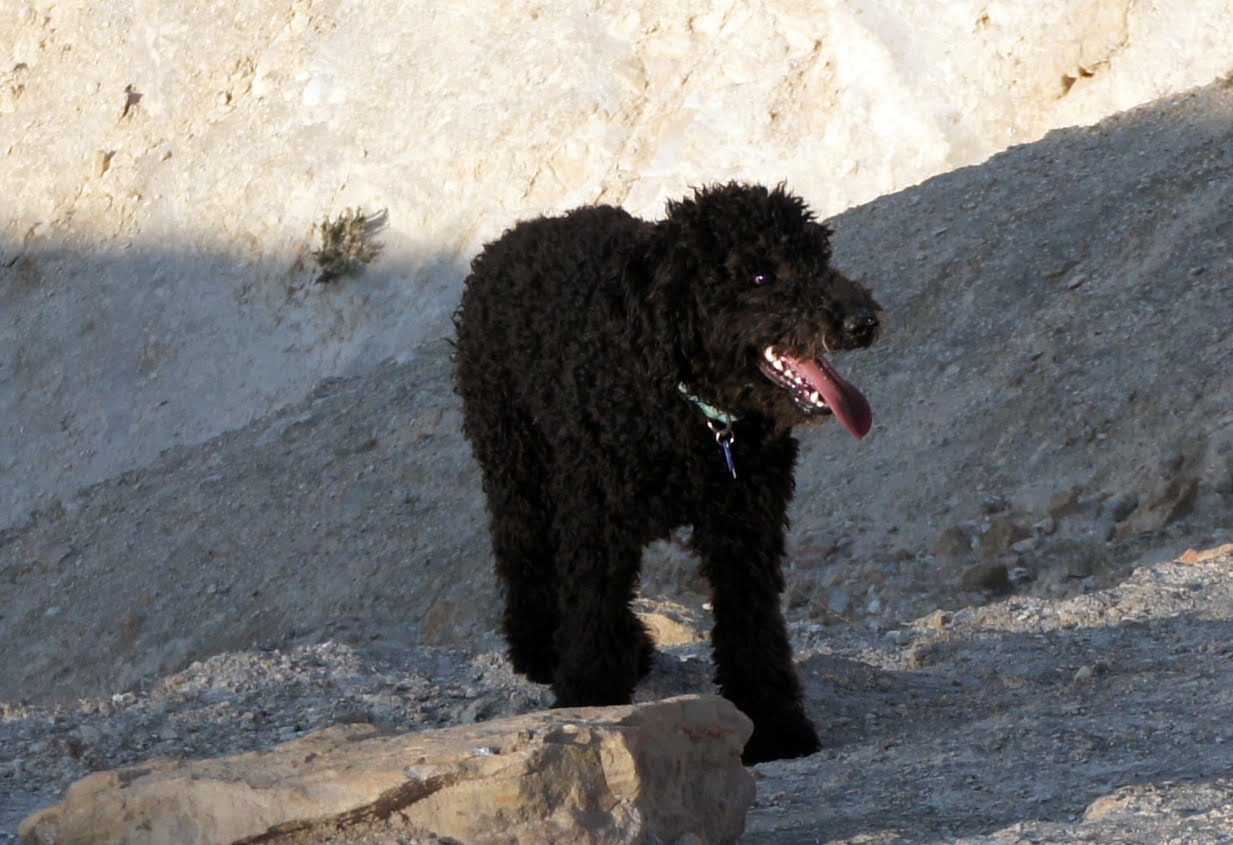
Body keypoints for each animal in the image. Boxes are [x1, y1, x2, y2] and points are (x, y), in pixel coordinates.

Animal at [453, 182, 881, 763]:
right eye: (761, 275)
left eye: (820, 256)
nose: (864, 320)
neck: (688, 413)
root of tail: (513, 237)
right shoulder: (598, 519)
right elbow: (591, 611)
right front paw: (590, 704)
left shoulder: (746, 527)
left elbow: (754, 629)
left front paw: (775, 725)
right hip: (515, 462)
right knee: (522, 554)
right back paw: (538, 649)